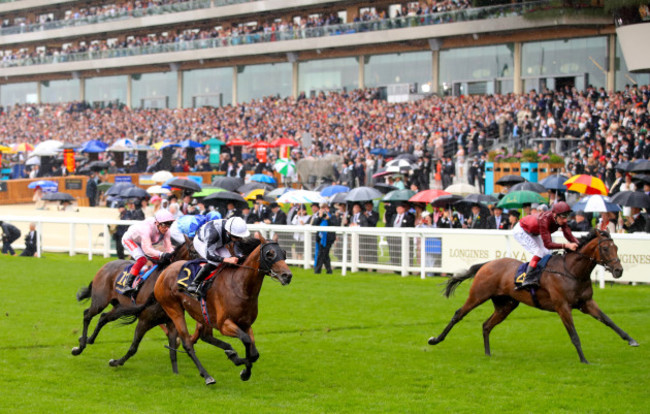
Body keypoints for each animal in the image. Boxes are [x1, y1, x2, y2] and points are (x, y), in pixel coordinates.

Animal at [71, 234, 197, 374]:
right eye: (193, 251)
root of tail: (106, 265)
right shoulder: (144, 320)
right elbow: (134, 347)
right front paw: (115, 362)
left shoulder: (171, 322)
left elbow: (173, 351)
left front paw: (176, 373)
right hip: (100, 301)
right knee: (87, 315)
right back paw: (79, 347)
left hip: (119, 306)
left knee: (103, 317)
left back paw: (89, 339)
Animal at [149, 236, 292, 384]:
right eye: (270, 254)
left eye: (284, 253)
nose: (287, 275)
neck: (240, 286)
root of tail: (166, 270)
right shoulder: (224, 324)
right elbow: (246, 340)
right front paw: (241, 366)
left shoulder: (246, 324)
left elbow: (254, 353)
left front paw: (243, 369)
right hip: (174, 310)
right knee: (188, 344)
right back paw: (207, 376)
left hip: (200, 312)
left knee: (205, 336)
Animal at [428, 228, 636, 364]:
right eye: (606, 248)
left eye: (617, 248)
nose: (618, 270)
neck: (572, 272)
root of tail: (487, 264)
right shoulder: (562, 306)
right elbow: (574, 335)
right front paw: (584, 360)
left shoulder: (586, 303)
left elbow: (608, 320)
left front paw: (631, 339)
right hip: (478, 295)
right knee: (458, 314)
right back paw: (435, 340)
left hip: (506, 305)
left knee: (486, 325)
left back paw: (488, 354)